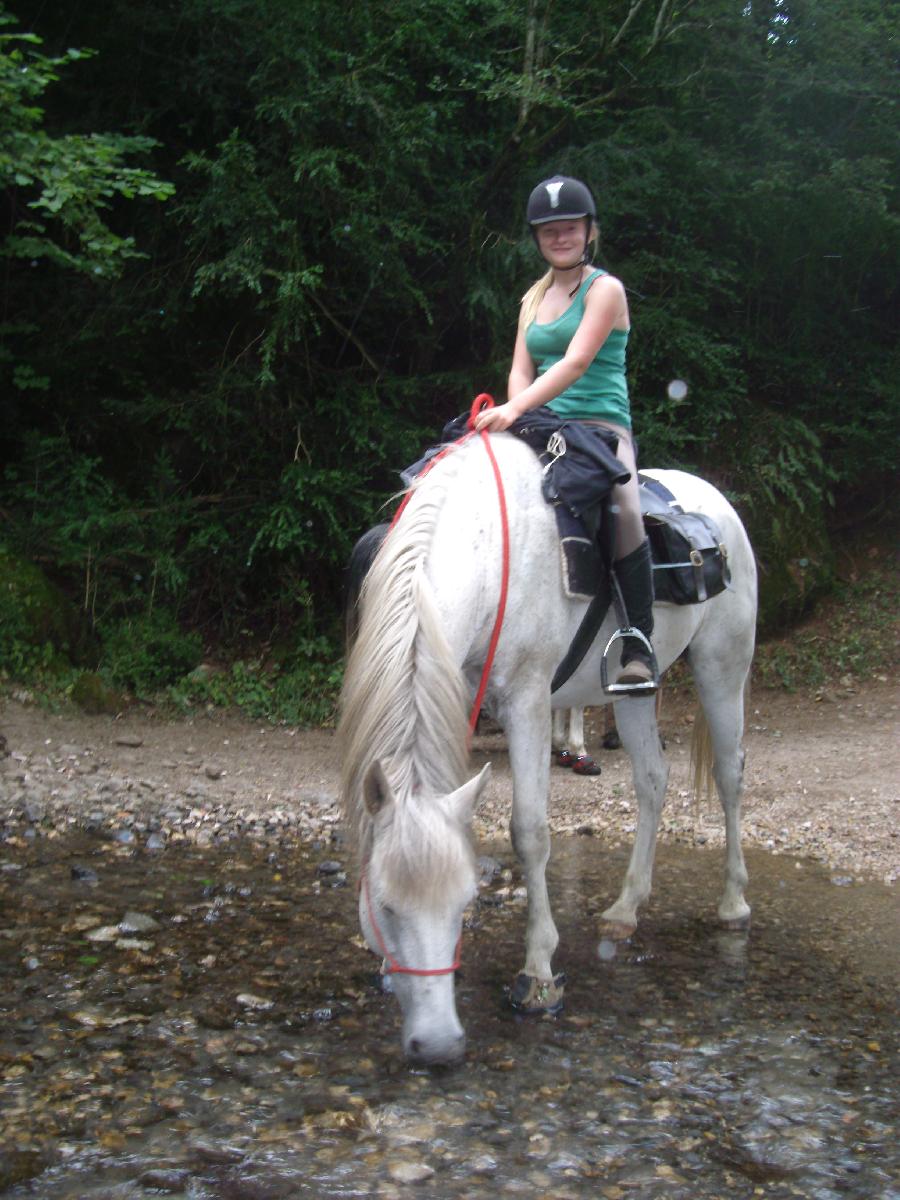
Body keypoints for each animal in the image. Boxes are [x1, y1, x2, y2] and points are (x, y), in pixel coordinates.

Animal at [340, 436, 758, 1065]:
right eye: (386, 906)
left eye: (465, 902)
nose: (438, 1045)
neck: (489, 550)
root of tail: (717, 503)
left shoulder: (529, 702)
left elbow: (529, 833)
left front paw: (537, 973)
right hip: (633, 693)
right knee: (652, 781)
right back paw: (625, 909)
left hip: (722, 667)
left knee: (730, 777)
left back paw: (732, 902)